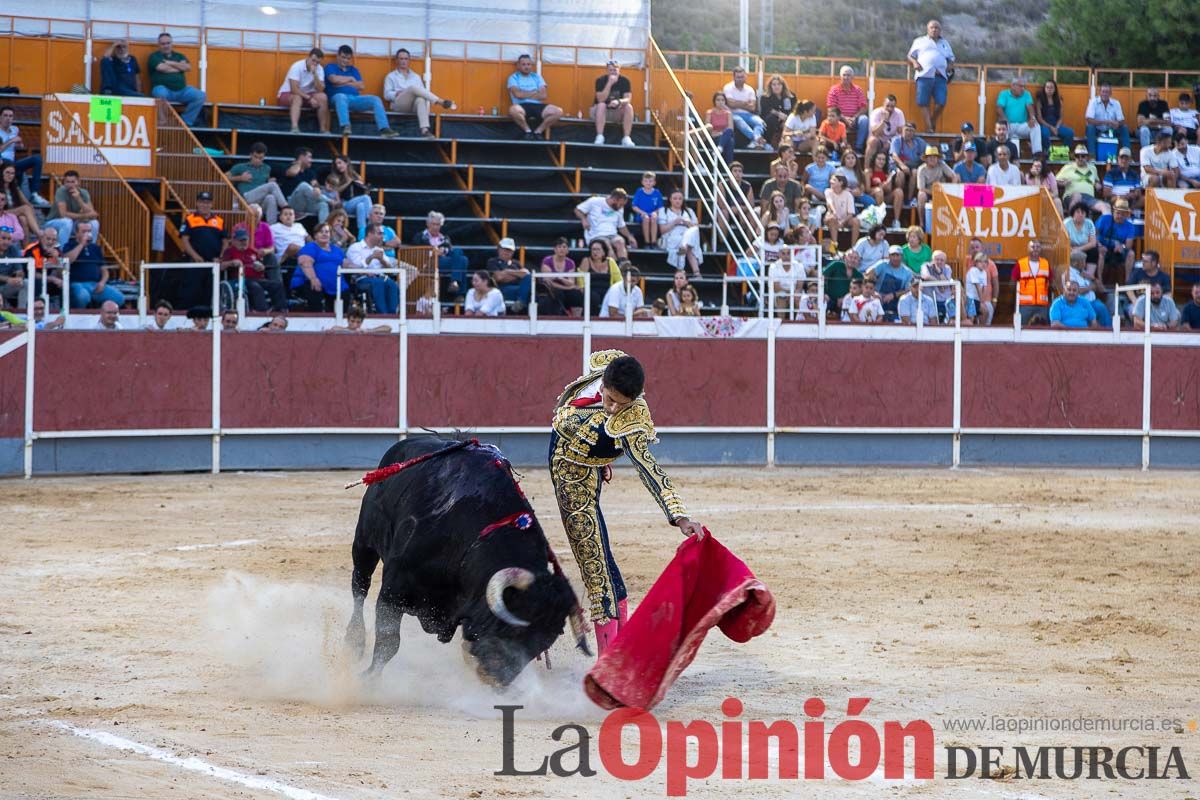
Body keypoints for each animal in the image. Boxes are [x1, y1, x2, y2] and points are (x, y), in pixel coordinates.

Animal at [343, 434, 580, 686]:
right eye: (516, 630)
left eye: (543, 644)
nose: (498, 682)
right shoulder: (393, 590)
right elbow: (389, 642)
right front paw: (367, 679)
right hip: (364, 543)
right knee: (360, 586)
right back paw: (354, 642)